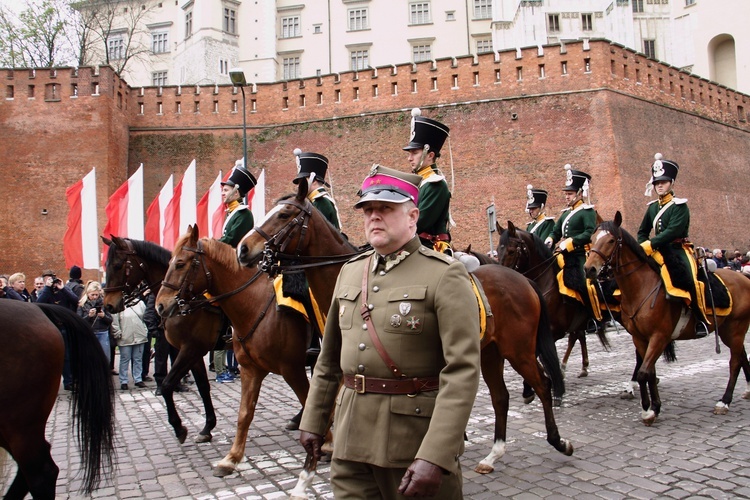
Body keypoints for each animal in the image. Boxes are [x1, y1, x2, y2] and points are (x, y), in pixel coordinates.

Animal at [102, 236, 223, 444]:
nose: (108, 305)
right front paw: (208, 427)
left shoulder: (190, 350)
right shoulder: (193, 352)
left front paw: (178, 426)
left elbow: (167, 385)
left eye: (118, 266)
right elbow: (202, 387)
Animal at [156, 227, 314, 476]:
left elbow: (167, 385)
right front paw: (223, 448)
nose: (160, 306)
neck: (255, 306)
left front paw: (181, 428)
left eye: (180, 264)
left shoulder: (292, 368)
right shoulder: (241, 365)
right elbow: (237, 409)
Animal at [239, 182, 576, 474]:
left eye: (284, 214)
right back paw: (493, 455)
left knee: (543, 384)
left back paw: (558, 440)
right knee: (500, 397)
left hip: (518, 351)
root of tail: (523, 279)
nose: (243, 249)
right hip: (492, 353)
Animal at [588, 213, 750, 424]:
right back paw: (747, 390)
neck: (641, 288)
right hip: (728, 330)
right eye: (592, 239)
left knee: (735, 362)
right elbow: (649, 372)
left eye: (611, 240)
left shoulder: (659, 336)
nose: (589, 269)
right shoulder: (640, 338)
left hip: (736, 329)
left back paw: (724, 401)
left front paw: (648, 411)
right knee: (742, 357)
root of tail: (744, 279)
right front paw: (652, 406)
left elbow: (644, 372)